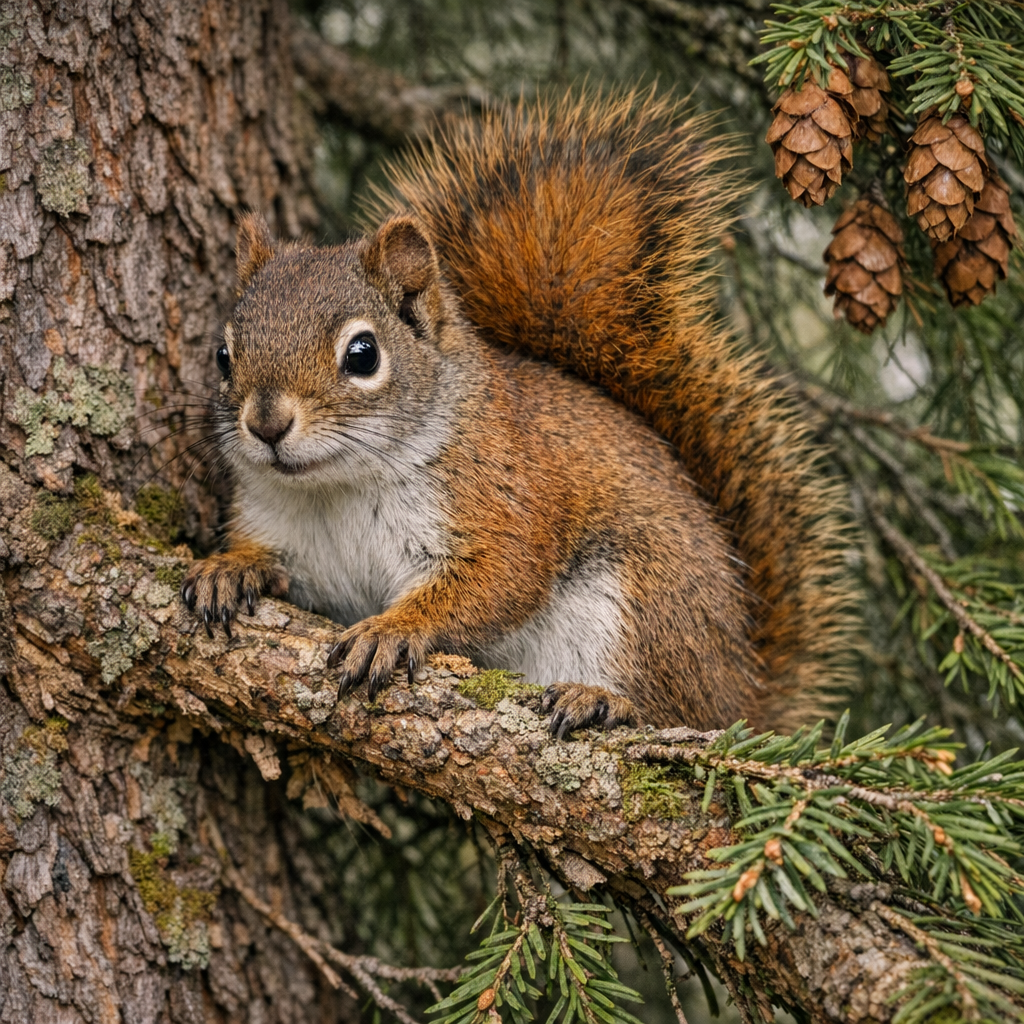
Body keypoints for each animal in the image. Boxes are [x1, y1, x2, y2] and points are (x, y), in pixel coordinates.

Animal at [180, 89, 854, 735]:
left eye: (363, 354)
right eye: (222, 355)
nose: (266, 425)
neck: (336, 488)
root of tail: (741, 687)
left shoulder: (500, 502)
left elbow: (498, 579)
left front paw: (393, 630)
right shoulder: (285, 530)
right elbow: (273, 563)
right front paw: (231, 569)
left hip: (639, 604)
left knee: (670, 711)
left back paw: (601, 701)